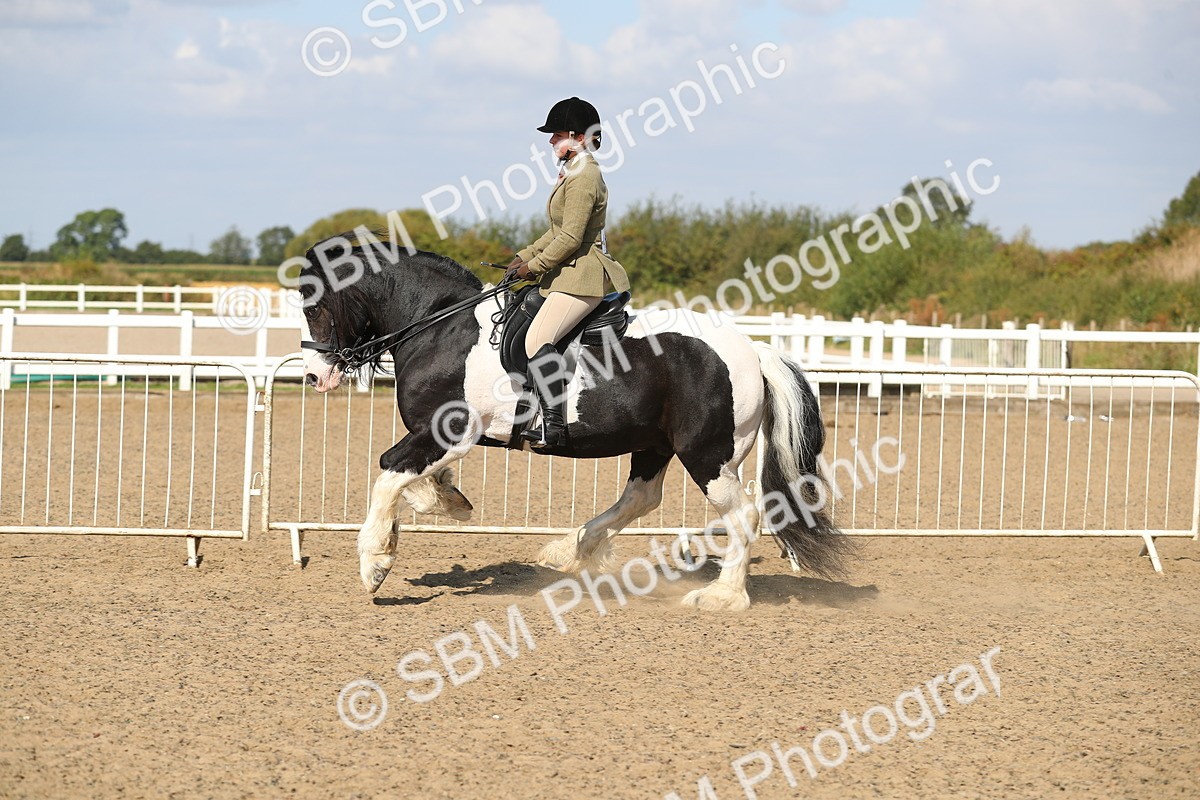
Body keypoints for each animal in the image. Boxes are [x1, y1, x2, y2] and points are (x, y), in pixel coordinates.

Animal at [298, 232, 855, 611]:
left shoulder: (449, 432)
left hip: (708, 456)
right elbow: (408, 478)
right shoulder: (439, 438)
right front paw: (444, 501)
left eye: (316, 306)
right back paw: (570, 550)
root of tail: (752, 349)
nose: (314, 376)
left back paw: (722, 597)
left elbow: (389, 471)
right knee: (642, 498)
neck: (443, 329)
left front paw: (375, 561)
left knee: (744, 515)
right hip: (655, 444)